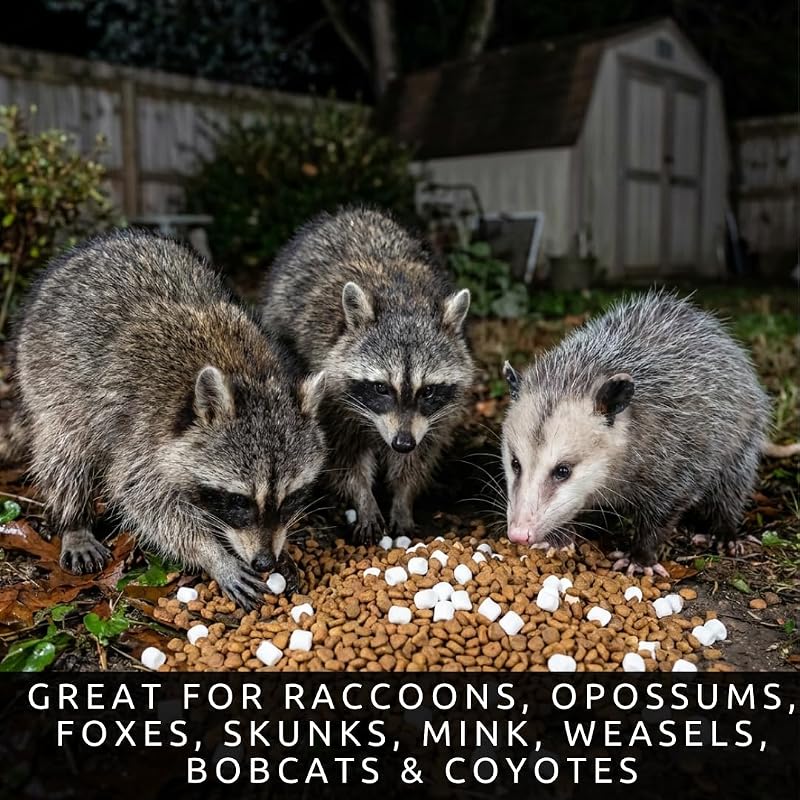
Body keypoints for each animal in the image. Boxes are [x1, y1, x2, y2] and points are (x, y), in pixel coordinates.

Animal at [14, 230, 326, 609]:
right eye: (239, 501)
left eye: (291, 497)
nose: (265, 561)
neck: (246, 372)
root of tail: (100, 243)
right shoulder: (142, 431)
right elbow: (145, 499)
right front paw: (212, 553)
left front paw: (286, 546)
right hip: (46, 376)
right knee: (65, 450)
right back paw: (73, 521)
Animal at [260, 208, 473, 543]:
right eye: (381, 388)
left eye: (427, 391)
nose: (402, 443)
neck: (404, 302)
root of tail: (352, 213)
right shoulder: (332, 399)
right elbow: (345, 459)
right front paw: (364, 500)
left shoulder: (438, 416)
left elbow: (418, 458)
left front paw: (403, 499)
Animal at [501, 290, 776, 576]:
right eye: (515, 463)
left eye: (563, 470)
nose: (518, 534)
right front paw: (557, 539)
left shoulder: (676, 453)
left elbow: (665, 509)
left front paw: (640, 559)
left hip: (742, 438)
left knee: (731, 487)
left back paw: (724, 533)